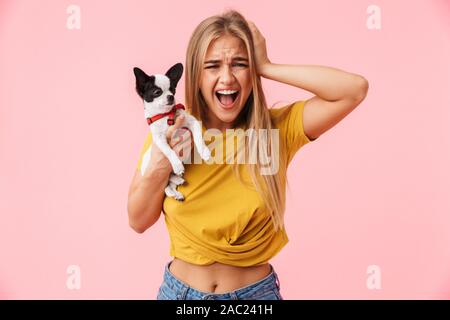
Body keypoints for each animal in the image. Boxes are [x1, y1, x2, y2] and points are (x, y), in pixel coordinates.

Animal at [134, 63, 211, 200]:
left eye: (173, 90)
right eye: (157, 92)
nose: (171, 96)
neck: (165, 115)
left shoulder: (192, 122)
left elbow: (198, 137)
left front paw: (204, 151)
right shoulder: (159, 139)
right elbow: (169, 151)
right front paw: (177, 164)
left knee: (169, 184)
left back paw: (177, 188)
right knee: (165, 186)